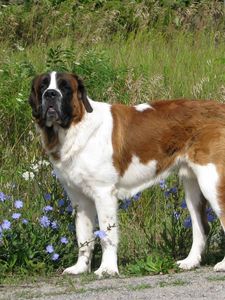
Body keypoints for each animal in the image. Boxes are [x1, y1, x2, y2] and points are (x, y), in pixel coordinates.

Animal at [29, 71, 225, 278]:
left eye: (65, 87)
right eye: (42, 87)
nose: (50, 94)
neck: (74, 127)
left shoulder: (104, 193)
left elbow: (106, 234)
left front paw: (107, 269)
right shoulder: (79, 199)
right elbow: (83, 236)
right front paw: (80, 268)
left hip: (211, 182)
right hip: (193, 185)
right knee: (200, 226)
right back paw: (190, 262)